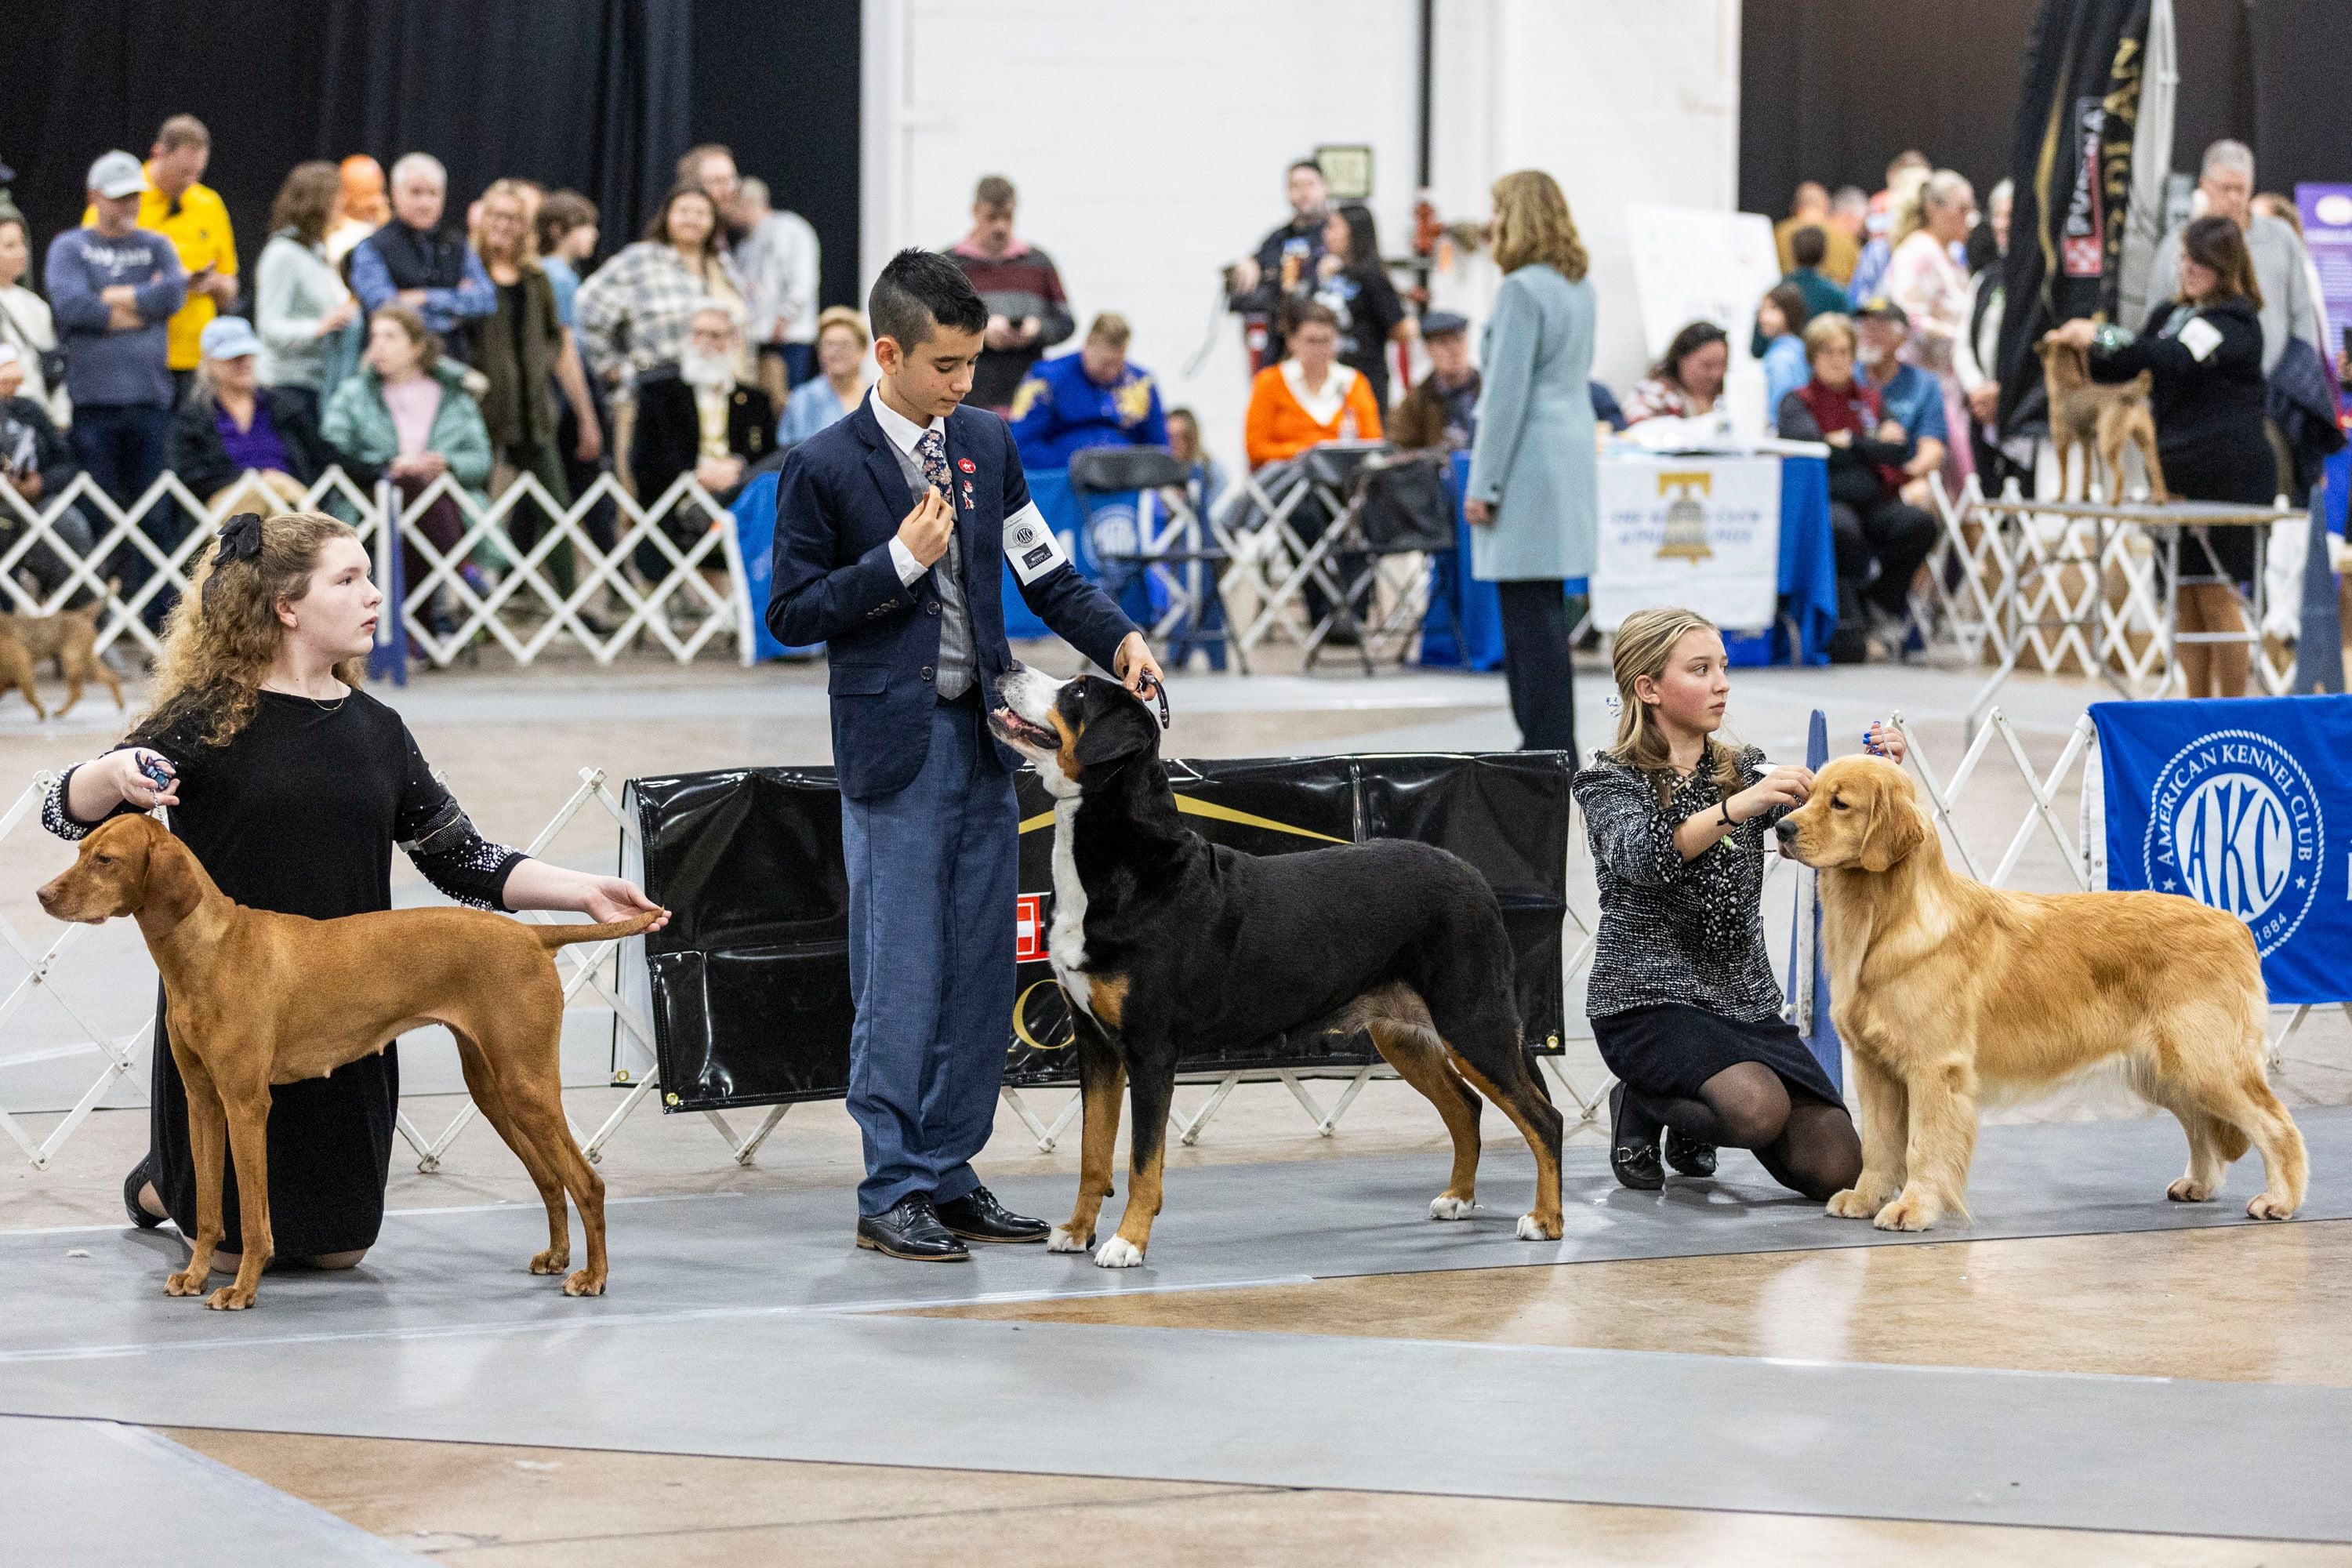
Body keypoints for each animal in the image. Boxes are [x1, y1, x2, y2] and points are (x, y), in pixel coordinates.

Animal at [993, 667, 1562, 1269]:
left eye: (1077, 691)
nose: (1008, 669)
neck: (1122, 866)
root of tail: (1472, 876)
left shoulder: (1150, 1049)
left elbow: (1142, 1161)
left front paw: (1127, 1242)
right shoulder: (1095, 1042)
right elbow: (1092, 1152)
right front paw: (1077, 1231)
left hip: (1471, 1020)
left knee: (1543, 1118)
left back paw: (1546, 1220)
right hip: (1404, 1035)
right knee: (1468, 1107)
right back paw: (1458, 1198)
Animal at [1778, 752, 2296, 1232]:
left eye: (1840, 803)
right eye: (1806, 795)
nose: (1781, 828)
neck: (1887, 920)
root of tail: (2235, 925)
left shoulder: (1934, 1068)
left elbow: (1921, 1146)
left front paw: (1914, 1207)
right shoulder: (1874, 1068)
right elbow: (1880, 1145)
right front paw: (1866, 1199)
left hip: (2206, 1062)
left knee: (2276, 1124)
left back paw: (2280, 1200)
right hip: (2167, 1070)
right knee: (2202, 1128)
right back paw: (2199, 1185)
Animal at [2042, 336, 2164, 503]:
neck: (2065, 384)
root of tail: (2129, 394)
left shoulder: (2061, 442)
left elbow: (2064, 475)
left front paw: (2061, 496)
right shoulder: (2086, 442)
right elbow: (2087, 472)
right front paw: (2085, 495)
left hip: (2106, 444)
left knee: (2120, 474)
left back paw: (2114, 501)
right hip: (2146, 442)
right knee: (2156, 470)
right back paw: (2160, 499)